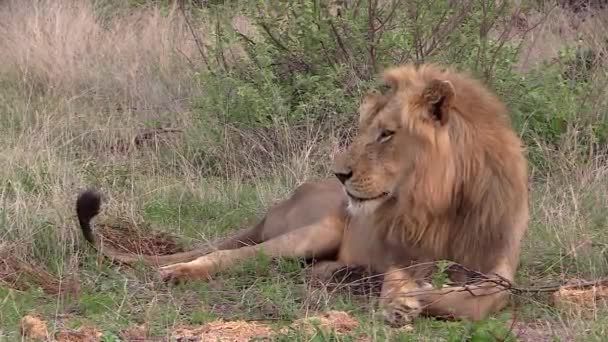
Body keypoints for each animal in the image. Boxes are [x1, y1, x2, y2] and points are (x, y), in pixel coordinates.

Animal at [76, 64, 528, 326]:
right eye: (364, 131)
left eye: (386, 134)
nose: (341, 173)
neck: (450, 199)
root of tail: (283, 201)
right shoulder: (406, 253)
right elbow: (414, 280)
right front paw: (401, 299)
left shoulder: (499, 265)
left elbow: (480, 299)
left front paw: (415, 297)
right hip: (317, 229)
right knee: (235, 256)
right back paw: (177, 272)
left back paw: (349, 276)